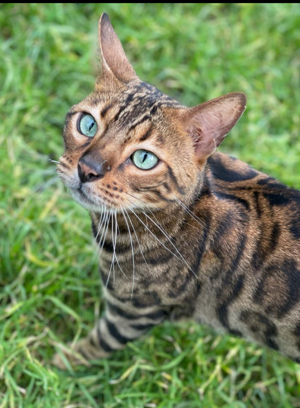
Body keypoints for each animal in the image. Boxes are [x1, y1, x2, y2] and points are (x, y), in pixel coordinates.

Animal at [54, 13, 300, 370]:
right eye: (87, 124)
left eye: (144, 159)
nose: (87, 169)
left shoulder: (134, 311)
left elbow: (94, 345)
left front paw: (56, 363)